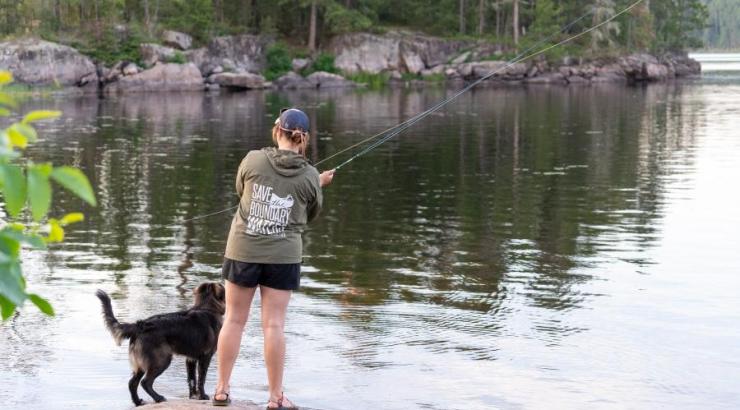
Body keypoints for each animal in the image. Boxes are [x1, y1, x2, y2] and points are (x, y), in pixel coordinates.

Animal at [97, 284, 227, 406]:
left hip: (141, 364)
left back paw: (138, 402)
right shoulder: (205, 357)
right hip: (161, 360)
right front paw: (203, 396)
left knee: (132, 383)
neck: (207, 308)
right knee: (145, 382)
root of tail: (139, 326)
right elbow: (201, 379)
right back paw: (158, 398)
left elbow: (191, 379)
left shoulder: (190, 359)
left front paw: (193, 396)